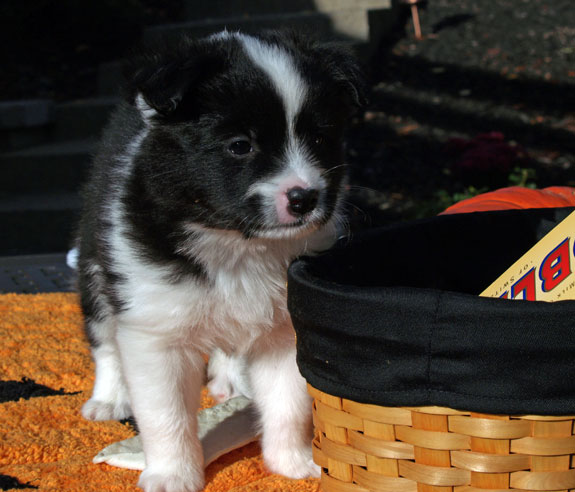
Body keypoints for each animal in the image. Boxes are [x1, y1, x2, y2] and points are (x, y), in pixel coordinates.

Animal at [76, 31, 364, 492]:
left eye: (320, 139)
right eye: (239, 146)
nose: (304, 198)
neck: (235, 245)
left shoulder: (285, 331)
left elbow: (289, 404)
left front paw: (293, 464)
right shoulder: (155, 330)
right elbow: (166, 416)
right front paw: (171, 475)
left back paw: (229, 379)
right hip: (94, 264)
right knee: (104, 337)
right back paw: (108, 398)